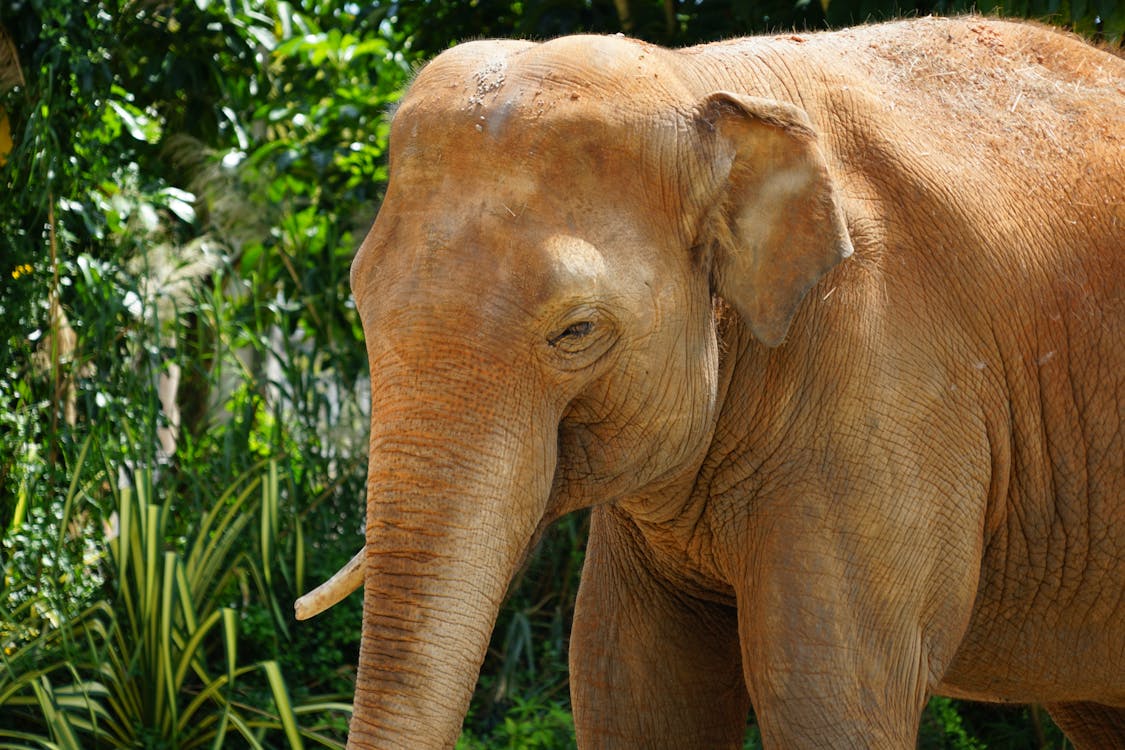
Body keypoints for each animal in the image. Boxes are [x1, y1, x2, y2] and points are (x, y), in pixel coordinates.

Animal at [297, 17, 1125, 750]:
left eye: (577, 332)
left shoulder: (893, 376)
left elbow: (828, 695)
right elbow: (635, 689)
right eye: (360, 297)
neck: (705, 83)